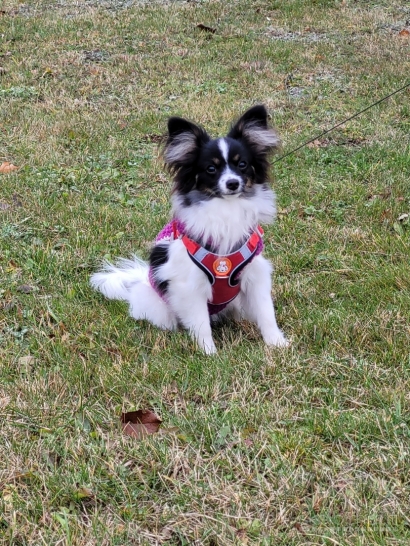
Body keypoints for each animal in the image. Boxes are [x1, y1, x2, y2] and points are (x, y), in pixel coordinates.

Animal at [91, 104, 286, 352]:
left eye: (242, 164)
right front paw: (208, 352)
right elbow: (200, 323)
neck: (226, 207)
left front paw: (277, 343)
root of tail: (141, 278)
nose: (232, 183)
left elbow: (265, 311)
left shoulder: (255, 274)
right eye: (211, 168)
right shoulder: (189, 285)